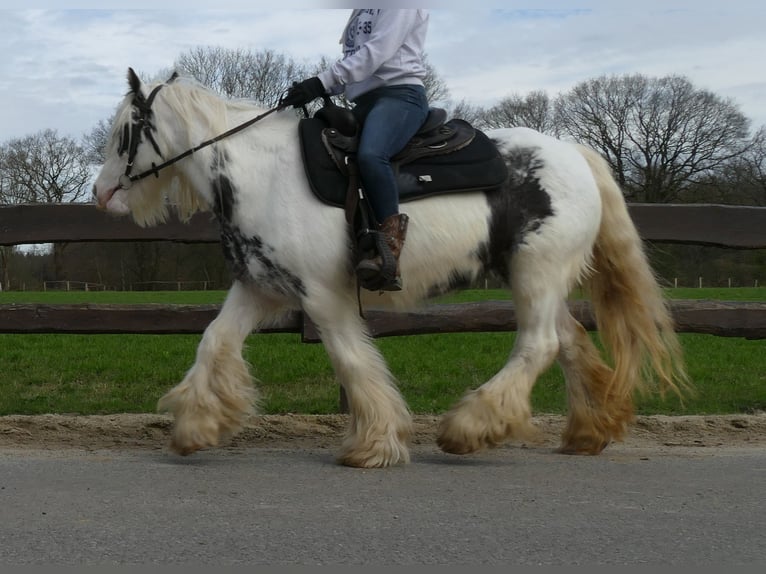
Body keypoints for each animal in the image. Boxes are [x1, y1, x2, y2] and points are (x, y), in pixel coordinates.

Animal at [93, 70, 688, 470]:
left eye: (124, 133)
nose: (101, 194)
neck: (263, 174)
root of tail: (573, 153)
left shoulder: (322, 296)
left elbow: (352, 361)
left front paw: (375, 444)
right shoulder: (259, 287)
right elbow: (214, 342)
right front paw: (196, 426)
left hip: (536, 274)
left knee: (538, 345)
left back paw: (469, 428)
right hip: (537, 278)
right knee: (568, 342)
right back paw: (588, 431)